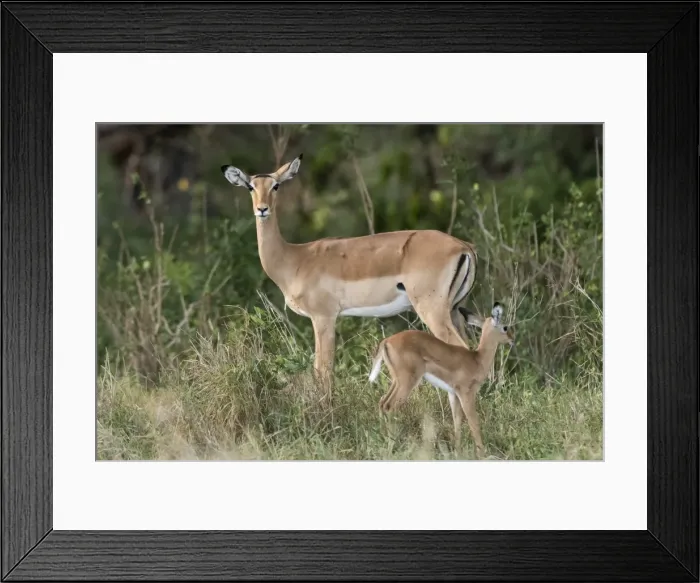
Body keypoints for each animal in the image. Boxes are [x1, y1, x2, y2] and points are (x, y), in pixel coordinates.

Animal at [220, 153, 479, 411]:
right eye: (250, 186)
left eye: (276, 185)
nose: (262, 209)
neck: (295, 259)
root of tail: (464, 247)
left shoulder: (323, 317)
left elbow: (323, 369)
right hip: (454, 311)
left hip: (433, 311)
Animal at [368, 302, 515, 457]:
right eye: (505, 327)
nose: (512, 339)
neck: (477, 360)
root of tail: (387, 341)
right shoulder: (466, 393)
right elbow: (473, 422)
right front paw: (482, 454)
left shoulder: (453, 394)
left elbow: (457, 421)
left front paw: (458, 452)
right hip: (407, 382)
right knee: (389, 406)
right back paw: (391, 446)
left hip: (397, 381)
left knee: (382, 402)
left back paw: (383, 440)